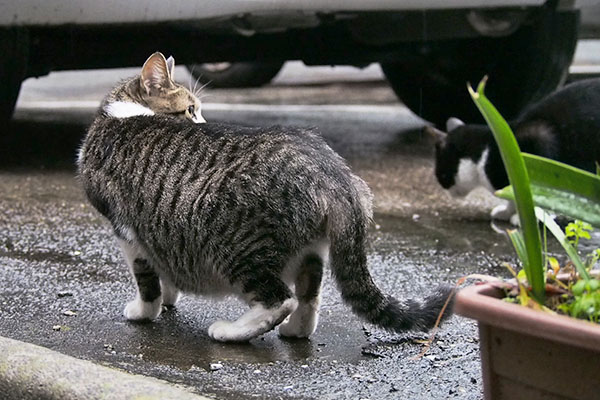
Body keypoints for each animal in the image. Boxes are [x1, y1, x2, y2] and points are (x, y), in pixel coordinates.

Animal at [78, 51, 454, 342]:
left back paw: (231, 332)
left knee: (280, 299)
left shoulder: (126, 229)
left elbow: (146, 280)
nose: (203, 122)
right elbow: (164, 268)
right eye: (189, 110)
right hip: (311, 247)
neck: (125, 114)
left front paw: (144, 311)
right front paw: (170, 297)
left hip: (236, 247)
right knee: (309, 295)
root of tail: (335, 175)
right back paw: (296, 331)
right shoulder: (154, 228)